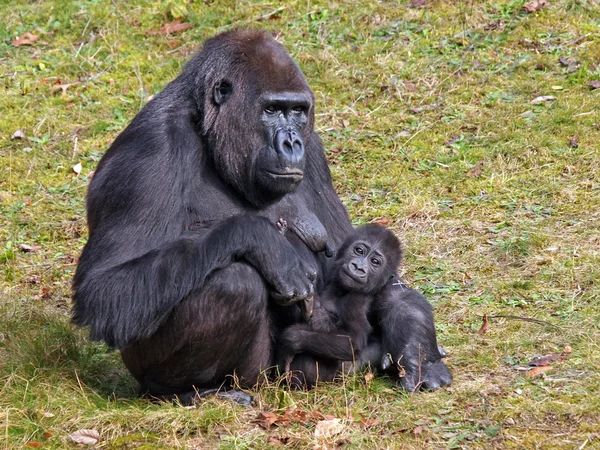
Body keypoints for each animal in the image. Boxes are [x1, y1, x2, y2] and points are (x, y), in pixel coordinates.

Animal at [278, 224, 400, 386]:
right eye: (359, 250)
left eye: (375, 261)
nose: (358, 267)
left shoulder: (356, 300)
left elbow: (351, 341)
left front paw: (291, 338)